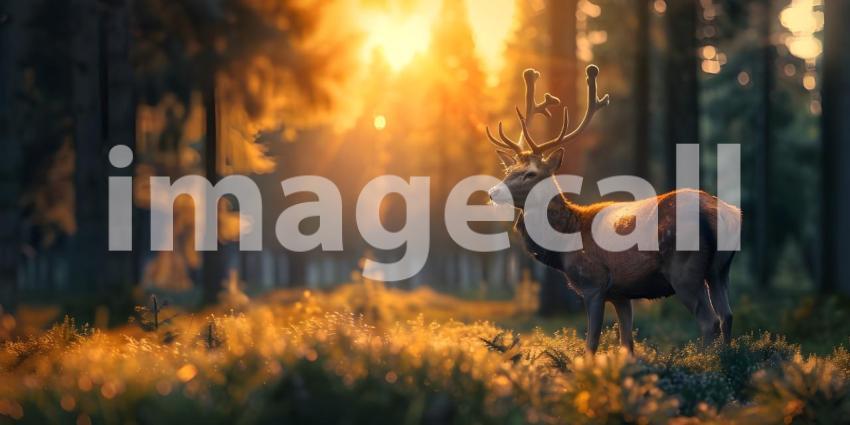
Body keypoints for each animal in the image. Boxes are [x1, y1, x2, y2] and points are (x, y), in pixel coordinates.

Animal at [485, 65, 741, 355]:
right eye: (508, 170)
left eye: (530, 173)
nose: (492, 192)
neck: (565, 244)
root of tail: (724, 214)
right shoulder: (621, 293)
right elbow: (626, 342)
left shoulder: (593, 283)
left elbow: (592, 342)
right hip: (720, 270)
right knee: (727, 315)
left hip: (684, 270)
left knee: (709, 320)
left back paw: (704, 361)